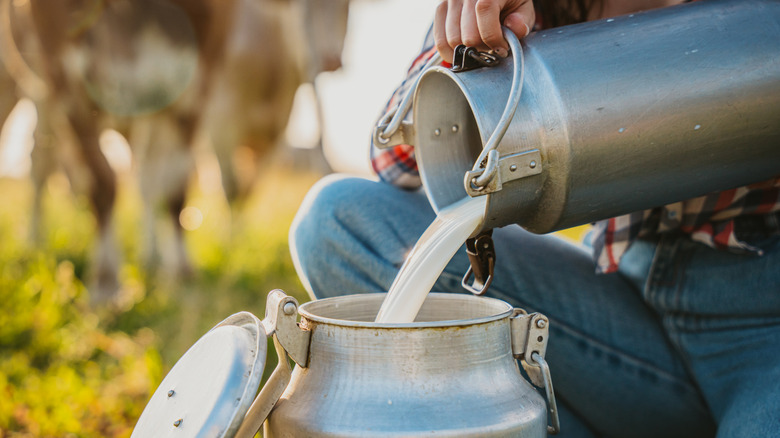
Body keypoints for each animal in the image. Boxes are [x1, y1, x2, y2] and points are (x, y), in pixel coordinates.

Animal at [3, 0, 350, 302]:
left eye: (346, 7)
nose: (328, 61)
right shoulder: (66, 77)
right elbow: (101, 180)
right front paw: (106, 282)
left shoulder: (195, 87)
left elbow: (176, 188)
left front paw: (183, 273)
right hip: (29, 90)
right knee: (41, 163)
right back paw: (33, 243)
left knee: (145, 178)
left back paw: (150, 257)